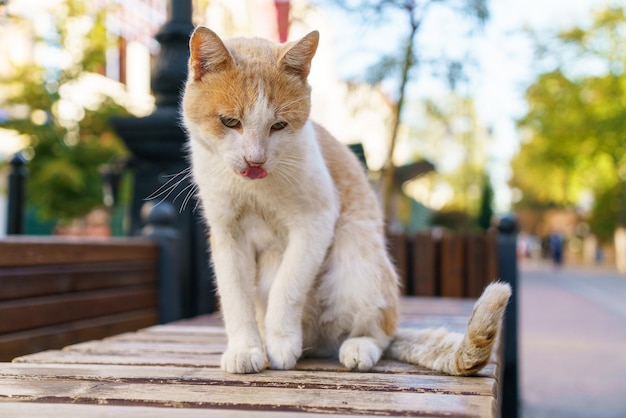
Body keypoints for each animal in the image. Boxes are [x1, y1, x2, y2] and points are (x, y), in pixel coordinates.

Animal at [179, 27, 508, 378]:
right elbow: (235, 298)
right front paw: (246, 348)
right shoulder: (228, 234)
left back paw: (358, 346)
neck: (255, 190)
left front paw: (281, 340)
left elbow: (287, 285)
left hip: (355, 243)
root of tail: (320, 341)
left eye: (278, 125)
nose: (255, 161)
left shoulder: (316, 221)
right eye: (230, 122)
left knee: (380, 332)